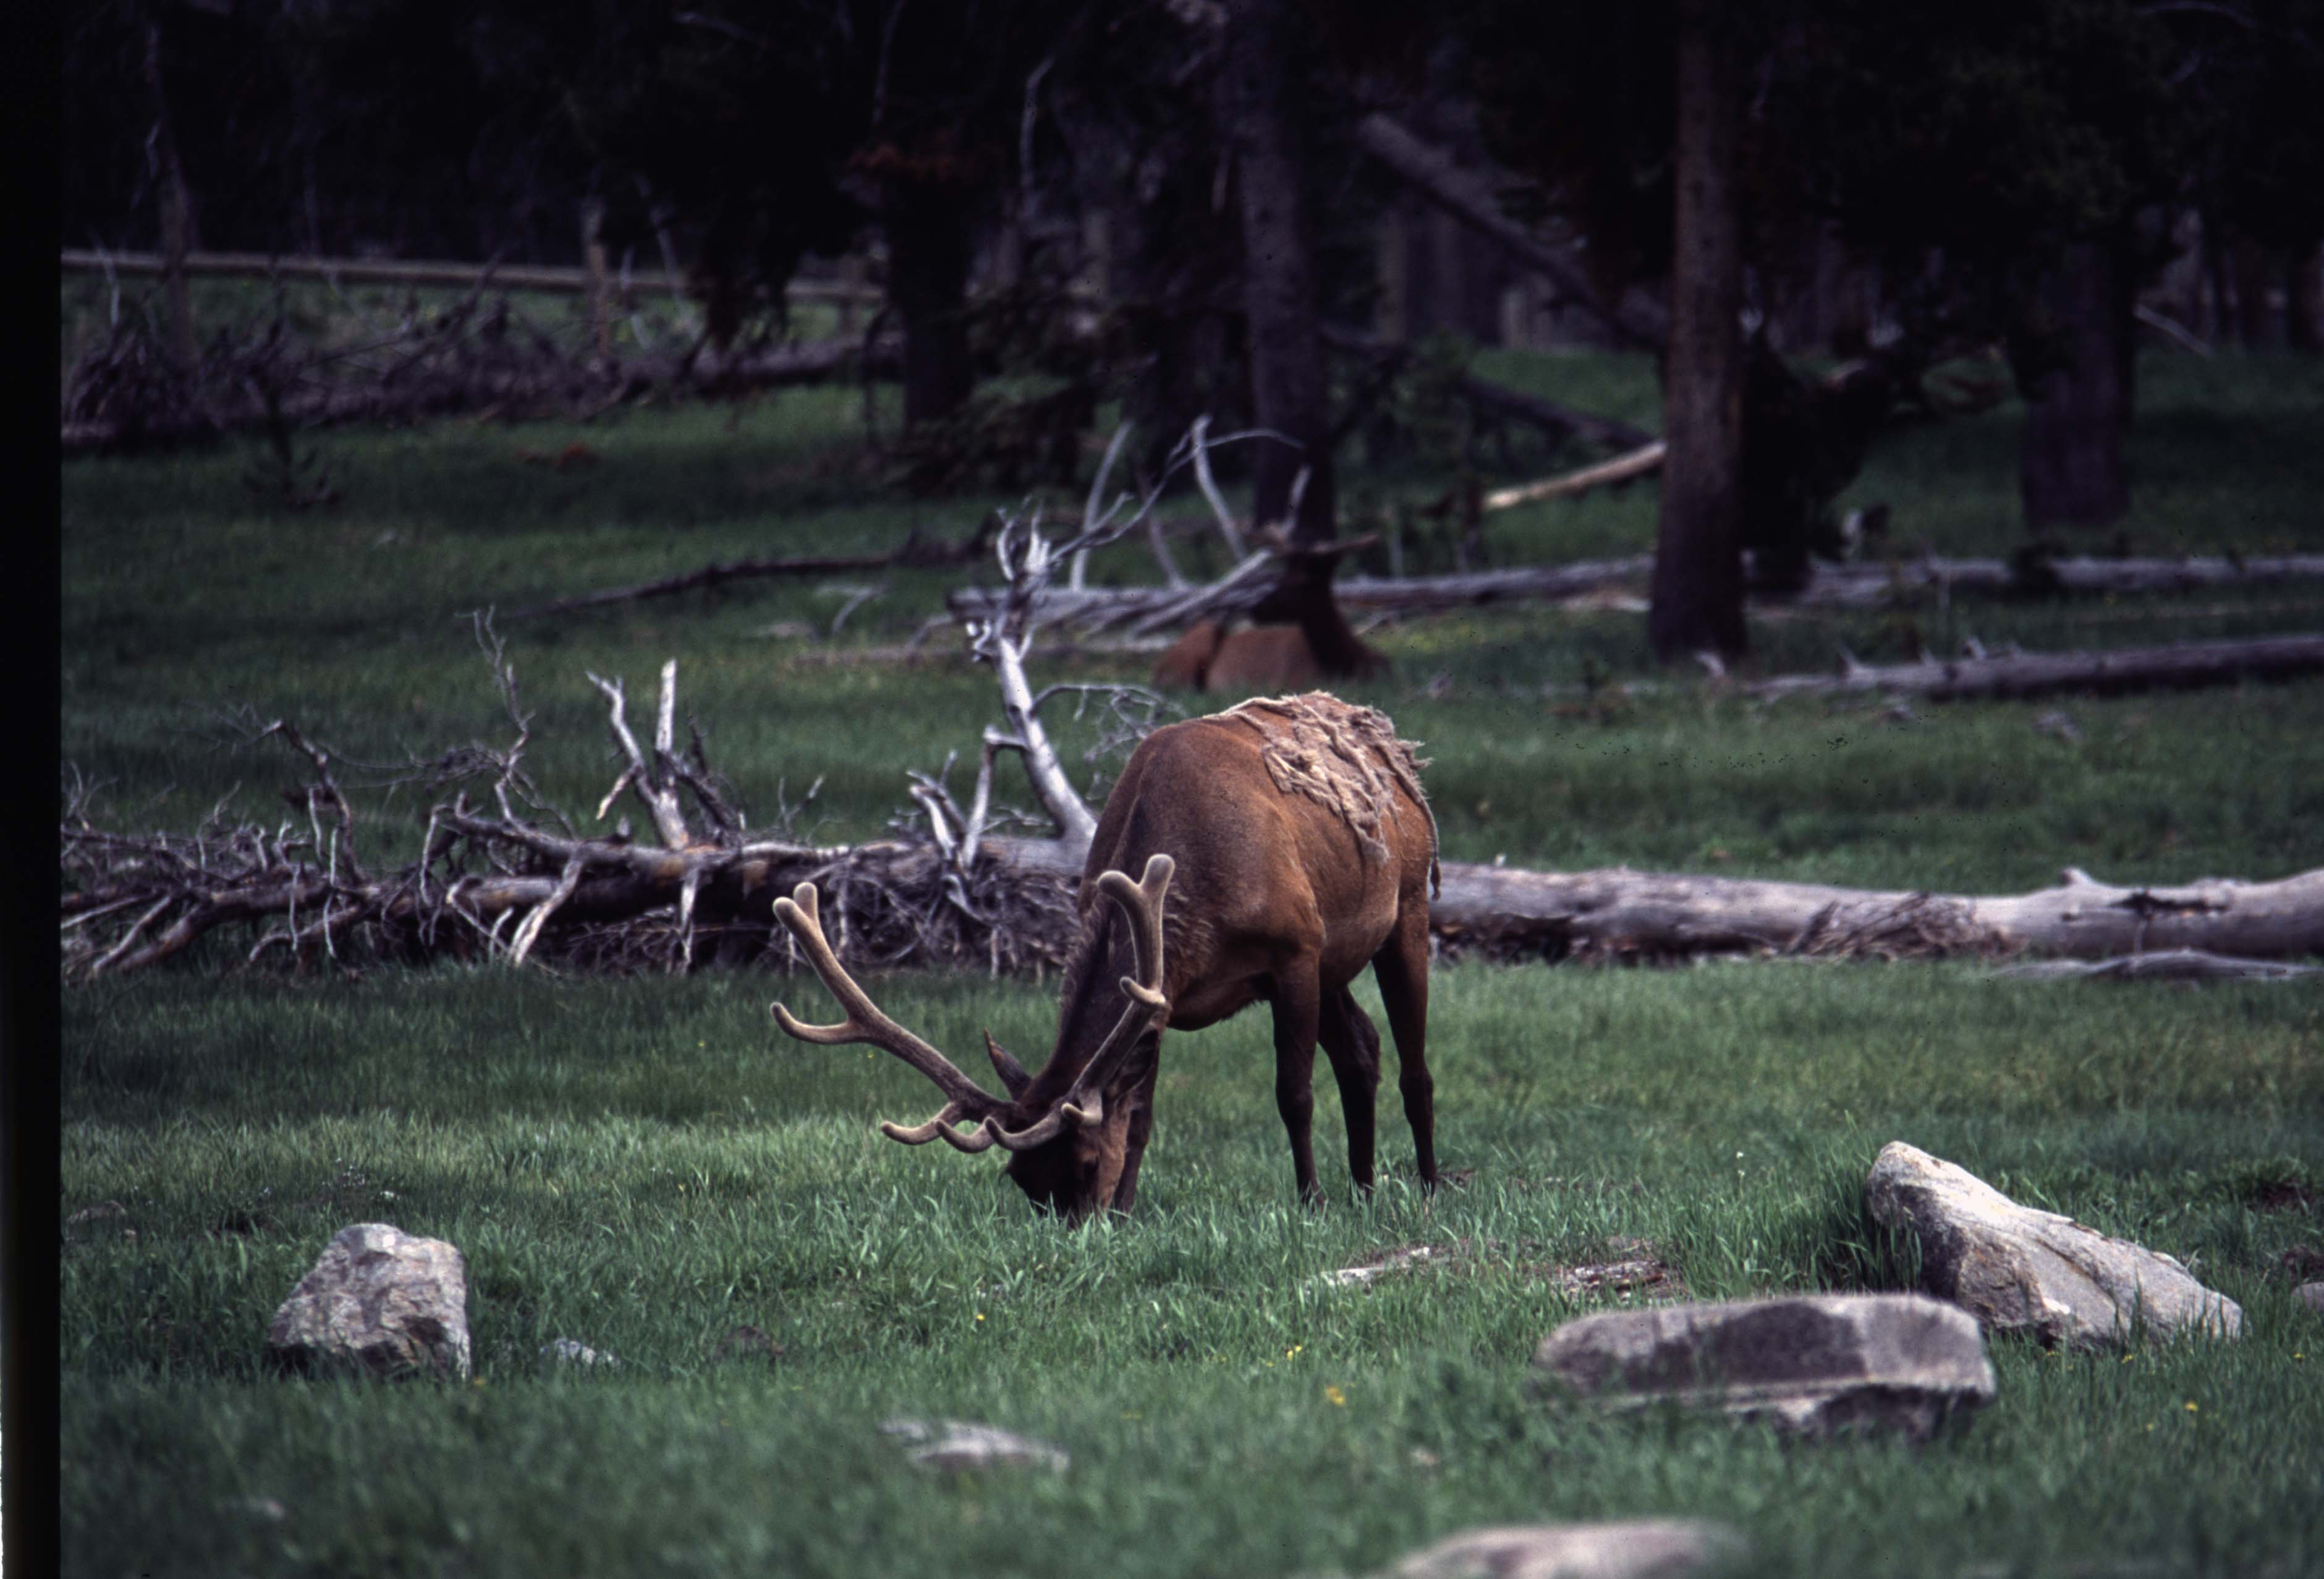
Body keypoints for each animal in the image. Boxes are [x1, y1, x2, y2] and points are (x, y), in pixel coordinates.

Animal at [767, 693, 1438, 1222]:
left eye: (1085, 1163)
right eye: (1021, 1181)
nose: (1081, 1230)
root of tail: (1391, 744)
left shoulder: (1294, 950)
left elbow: (1293, 1093)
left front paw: (1310, 1203)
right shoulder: (1163, 994)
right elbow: (1139, 1113)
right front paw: (1129, 1210)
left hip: (1404, 904)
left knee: (1413, 1064)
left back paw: (1427, 1186)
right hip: (1336, 960)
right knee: (1361, 1048)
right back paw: (1364, 1190)